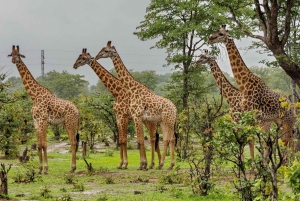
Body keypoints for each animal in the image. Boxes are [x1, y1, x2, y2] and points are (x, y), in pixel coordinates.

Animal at [8, 45, 80, 173]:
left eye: (19, 55)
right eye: (11, 54)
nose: (13, 60)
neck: (34, 96)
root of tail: (78, 111)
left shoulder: (43, 120)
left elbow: (45, 144)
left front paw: (46, 169)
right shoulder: (36, 121)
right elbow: (39, 144)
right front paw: (39, 169)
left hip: (70, 123)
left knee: (73, 142)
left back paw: (72, 169)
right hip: (67, 123)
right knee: (73, 142)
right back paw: (72, 168)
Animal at [95, 41, 177, 170]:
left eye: (106, 51)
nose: (97, 56)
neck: (132, 89)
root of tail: (175, 108)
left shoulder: (136, 116)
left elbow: (139, 140)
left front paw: (141, 165)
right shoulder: (135, 117)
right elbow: (137, 140)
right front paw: (142, 165)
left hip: (168, 121)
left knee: (169, 138)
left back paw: (166, 165)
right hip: (163, 121)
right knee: (167, 139)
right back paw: (163, 164)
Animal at [206, 25, 296, 155]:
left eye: (221, 34)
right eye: (216, 31)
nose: (209, 39)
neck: (244, 85)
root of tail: (291, 104)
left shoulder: (252, 117)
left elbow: (253, 141)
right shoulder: (247, 117)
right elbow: (250, 141)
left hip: (287, 121)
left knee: (290, 140)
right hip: (278, 121)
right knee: (284, 140)